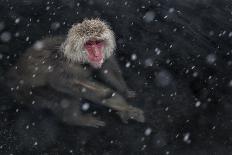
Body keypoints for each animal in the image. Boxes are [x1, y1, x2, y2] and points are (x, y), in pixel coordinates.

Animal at [5, 18, 144, 128]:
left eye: (98, 43)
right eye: (89, 44)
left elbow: (108, 71)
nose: (97, 54)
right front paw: (110, 98)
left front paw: (124, 94)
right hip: (31, 93)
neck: (79, 59)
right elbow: (61, 83)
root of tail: (11, 77)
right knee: (65, 95)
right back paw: (75, 119)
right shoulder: (63, 66)